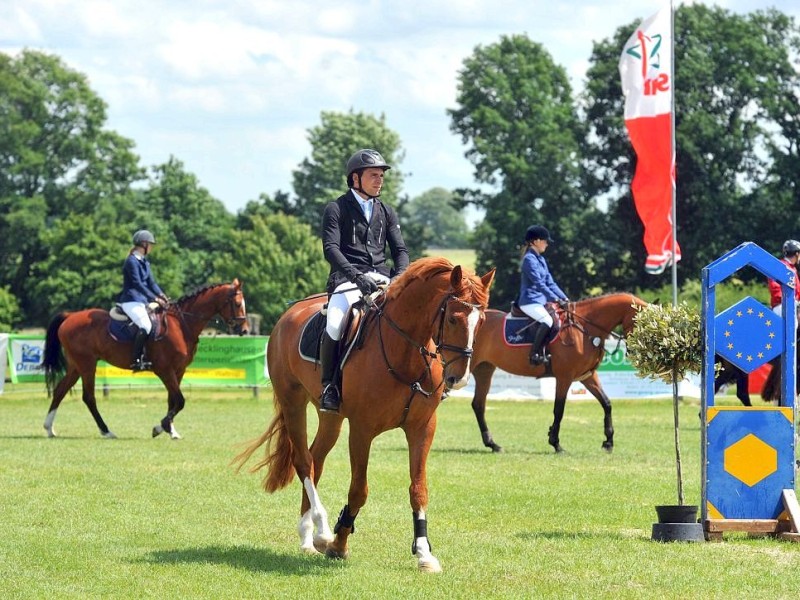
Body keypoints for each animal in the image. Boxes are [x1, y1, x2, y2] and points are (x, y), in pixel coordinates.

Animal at [40, 278, 245, 438]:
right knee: (88, 397)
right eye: (237, 304)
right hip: (87, 364)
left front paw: (171, 431)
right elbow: (180, 401)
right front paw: (160, 428)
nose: (243, 330)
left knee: (60, 390)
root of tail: (70, 316)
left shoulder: (179, 370)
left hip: (76, 365)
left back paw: (49, 428)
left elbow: (172, 400)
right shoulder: (164, 370)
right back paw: (106, 431)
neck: (181, 324)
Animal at [231, 256, 494, 572]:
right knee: (303, 461)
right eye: (453, 318)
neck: (403, 353)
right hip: (292, 401)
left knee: (316, 459)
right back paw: (321, 532)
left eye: (481, 322)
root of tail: (287, 316)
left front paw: (424, 553)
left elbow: (418, 489)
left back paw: (307, 538)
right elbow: (359, 489)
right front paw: (338, 543)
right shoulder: (362, 430)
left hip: (330, 416)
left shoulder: (422, 428)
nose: (460, 378)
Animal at [472, 292, 648, 452]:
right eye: (641, 322)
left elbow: (606, 403)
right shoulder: (565, 377)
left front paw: (608, 442)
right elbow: (559, 409)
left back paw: (492, 444)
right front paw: (555, 443)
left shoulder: (587, 375)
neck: (584, 328)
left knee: (478, 404)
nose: (634, 352)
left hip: (484, 369)